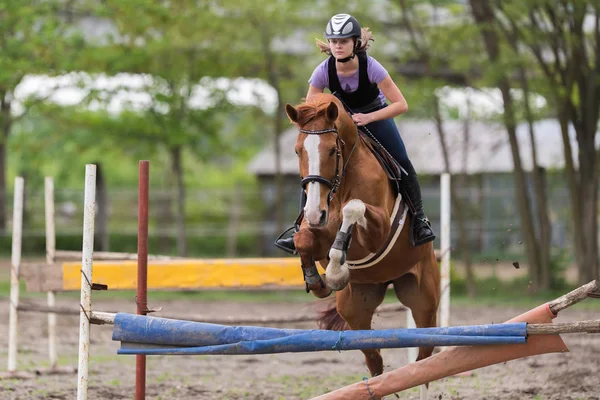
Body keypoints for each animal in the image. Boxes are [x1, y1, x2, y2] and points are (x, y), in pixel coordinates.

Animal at [286, 92, 440, 376]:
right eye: (298, 151)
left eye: (332, 150)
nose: (313, 212)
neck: (341, 181)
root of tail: (388, 280)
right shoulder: (317, 230)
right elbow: (304, 239)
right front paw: (317, 282)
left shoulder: (378, 233)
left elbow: (353, 207)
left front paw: (337, 271)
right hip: (355, 308)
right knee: (373, 357)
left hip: (424, 300)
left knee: (425, 351)